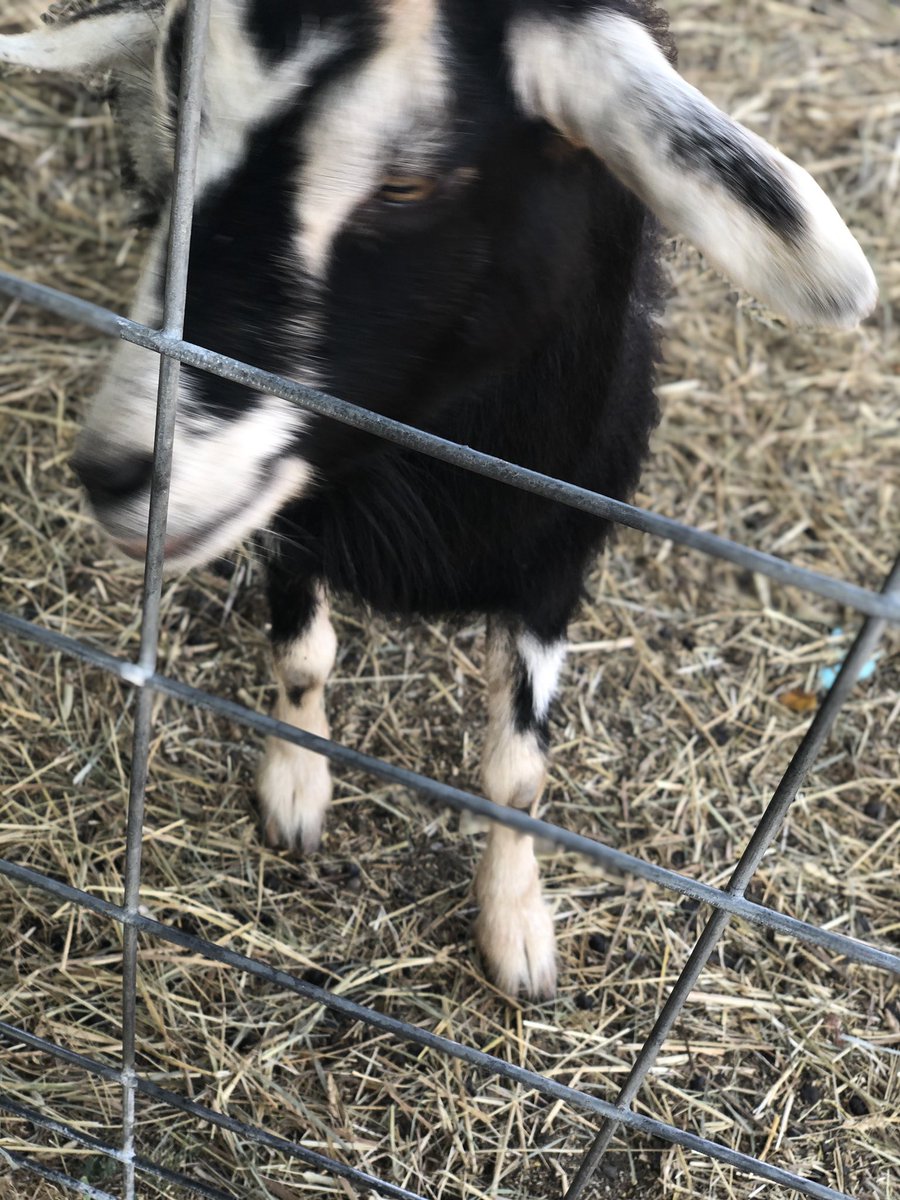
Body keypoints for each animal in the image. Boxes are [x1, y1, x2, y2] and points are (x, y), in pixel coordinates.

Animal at [0, 0, 876, 998]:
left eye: (406, 185)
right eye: (182, 121)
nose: (113, 471)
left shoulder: (554, 556)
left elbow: (518, 775)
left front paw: (517, 928)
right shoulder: (295, 522)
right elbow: (304, 658)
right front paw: (297, 789)